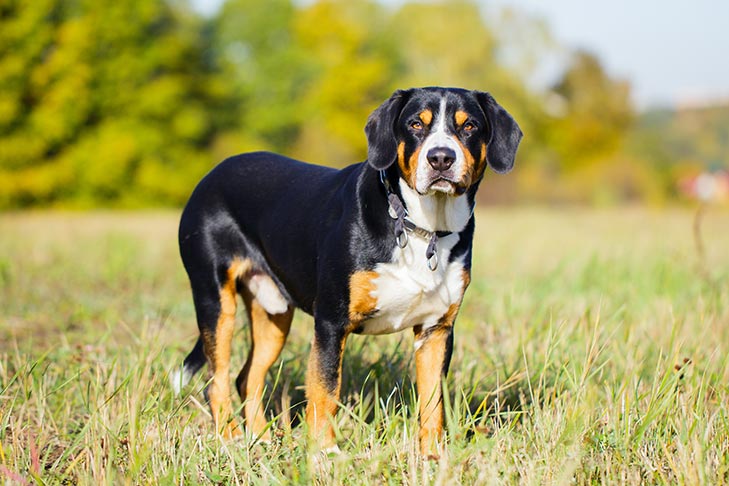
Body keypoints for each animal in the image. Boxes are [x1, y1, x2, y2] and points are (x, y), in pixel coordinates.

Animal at [173, 86, 520, 456]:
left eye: (469, 126)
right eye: (415, 124)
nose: (441, 158)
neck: (421, 227)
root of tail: (212, 175)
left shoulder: (436, 331)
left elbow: (432, 401)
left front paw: (432, 455)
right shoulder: (331, 321)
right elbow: (326, 391)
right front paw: (325, 453)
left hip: (274, 313)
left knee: (246, 378)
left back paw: (261, 439)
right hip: (215, 299)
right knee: (218, 380)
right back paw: (231, 438)